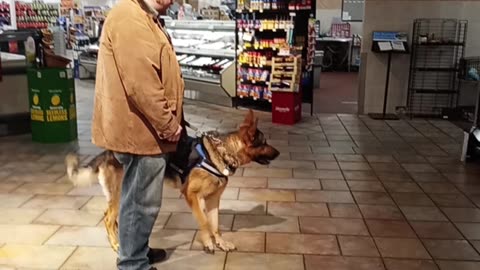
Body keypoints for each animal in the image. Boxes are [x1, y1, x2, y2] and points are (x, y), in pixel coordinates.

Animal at [65, 109, 280, 253]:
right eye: (264, 142)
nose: (279, 153)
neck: (222, 153)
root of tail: (107, 153)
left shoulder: (213, 200)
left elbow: (215, 224)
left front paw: (220, 242)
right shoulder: (191, 196)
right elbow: (204, 222)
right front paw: (208, 243)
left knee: (113, 218)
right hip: (119, 194)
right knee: (108, 219)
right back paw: (116, 244)